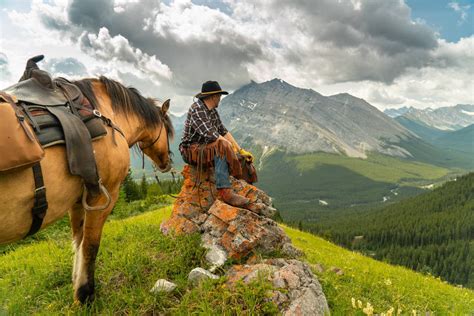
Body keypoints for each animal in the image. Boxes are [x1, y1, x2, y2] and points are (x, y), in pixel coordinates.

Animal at [0, 75, 174, 302]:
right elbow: (90, 245)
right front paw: (85, 294)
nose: (167, 163)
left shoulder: (76, 202)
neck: (107, 115)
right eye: (168, 131)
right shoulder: (102, 196)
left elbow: (78, 242)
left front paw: (77, 285)